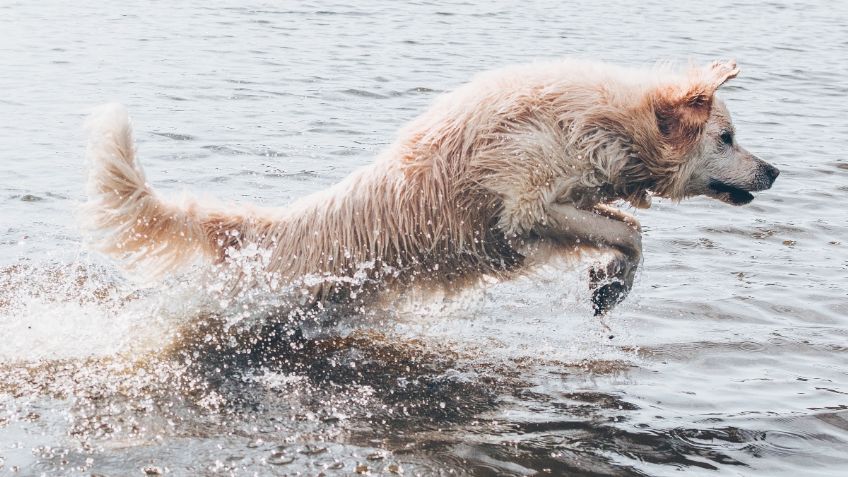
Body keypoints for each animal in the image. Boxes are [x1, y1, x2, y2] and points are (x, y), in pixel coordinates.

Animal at [83, 58, 780, 312]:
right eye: (727, 137)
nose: (774, 170)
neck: (601, 122)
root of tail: (273, 229)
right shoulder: (525, 206)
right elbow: (629, 232)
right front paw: (612, 282)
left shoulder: (559, 205)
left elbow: (626, 227)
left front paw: (610, 284)